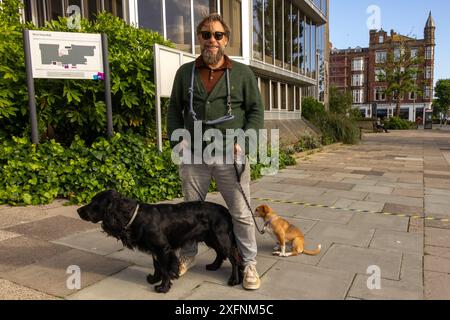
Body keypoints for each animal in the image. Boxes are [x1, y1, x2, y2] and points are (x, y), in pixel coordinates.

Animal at [77, 190, 243, 292]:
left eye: (95, 202)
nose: (78, 210)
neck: (135, 215)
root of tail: (226, 211)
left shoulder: (163, 249)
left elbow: (164, 269)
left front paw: (163, 288)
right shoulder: (155, 249)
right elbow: (157, 266)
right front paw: (154, 279)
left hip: (220, 237)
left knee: (234, 258)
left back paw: (234, 280)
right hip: (211, 238)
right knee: (221, 253)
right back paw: (214, 266)